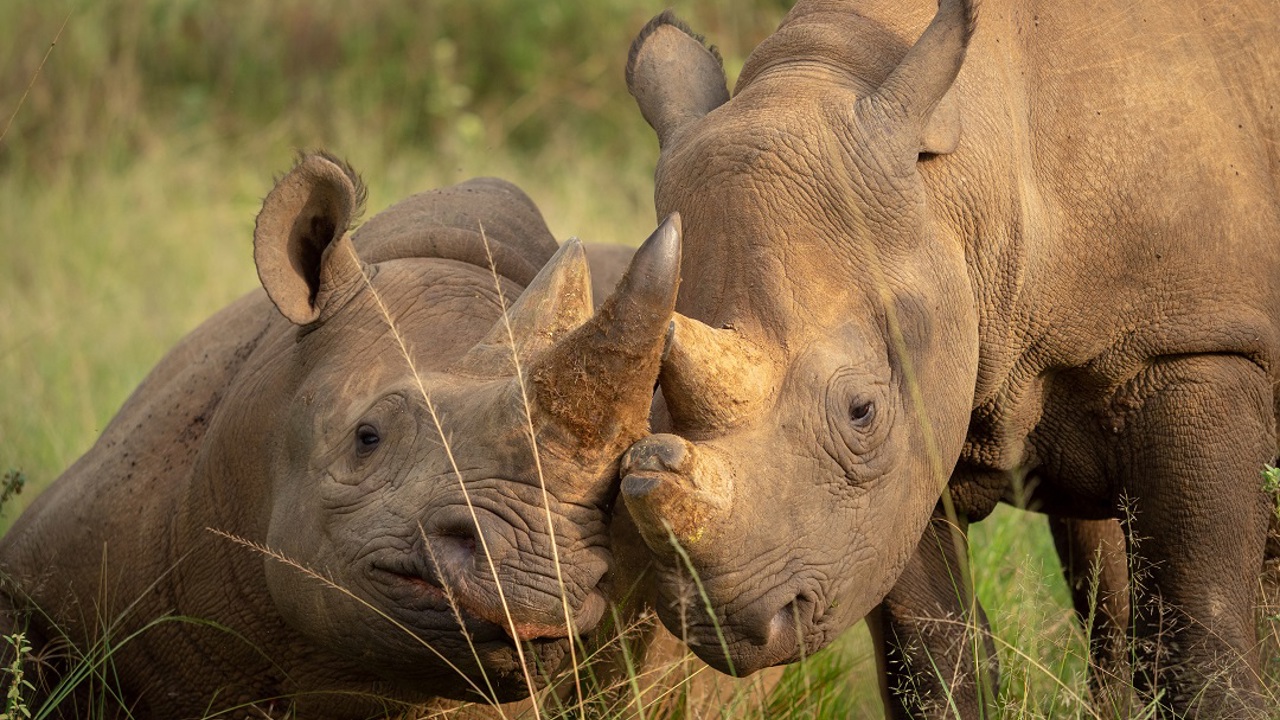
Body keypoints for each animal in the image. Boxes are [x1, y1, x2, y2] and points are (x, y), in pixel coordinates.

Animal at [619, 0, 1279, 716]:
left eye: (861, 410)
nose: (729, 625)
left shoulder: (1198, 341)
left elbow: (1199, 642)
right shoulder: (906, 452)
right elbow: (934, 659)